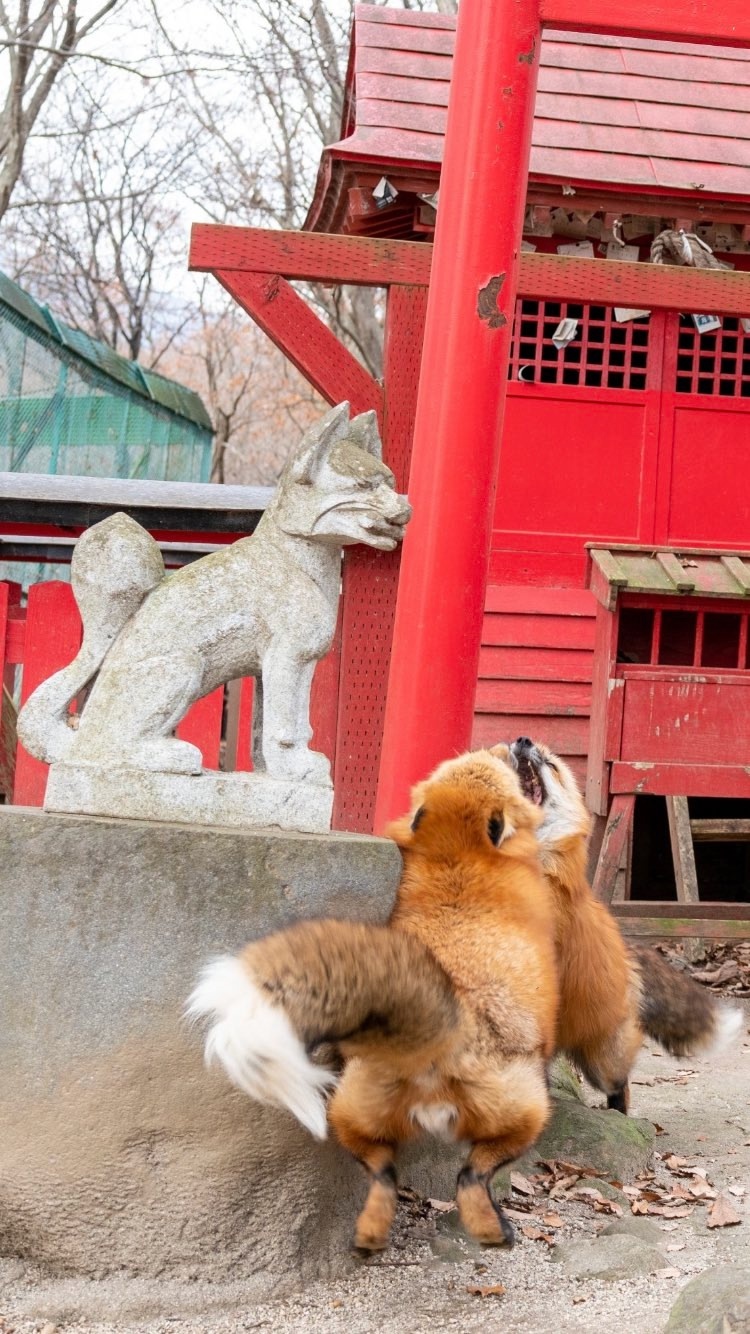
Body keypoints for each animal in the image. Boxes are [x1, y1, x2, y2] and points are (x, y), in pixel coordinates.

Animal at [189, 752, 557, 1248]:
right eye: (502, 760)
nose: (521, 742)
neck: (457, 859)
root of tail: (436, 1047)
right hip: (528, 1111)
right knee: (471, 1176)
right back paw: (493, 1227)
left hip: (348, 1112)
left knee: (382, 1174)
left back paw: (369, 1236)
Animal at [488, 736, 736, 1109]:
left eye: (551, 764)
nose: (523, 740)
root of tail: (624, 950)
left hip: (604, 1064)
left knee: (622, 1080)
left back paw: (617, 1111)